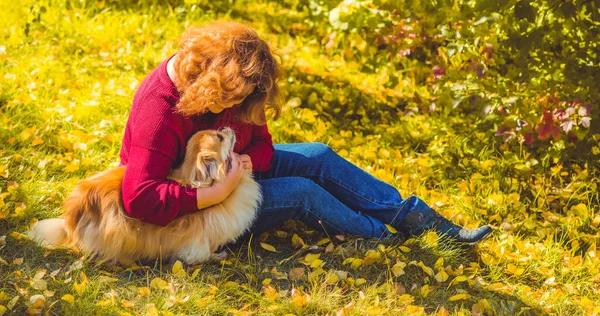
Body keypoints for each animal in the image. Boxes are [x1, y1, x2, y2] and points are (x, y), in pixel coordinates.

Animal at [27, 127, 260, 266]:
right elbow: (201, 251)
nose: (225, 127)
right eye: (220, 138)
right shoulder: (197, 237)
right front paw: (215, 256)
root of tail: (71, 219)